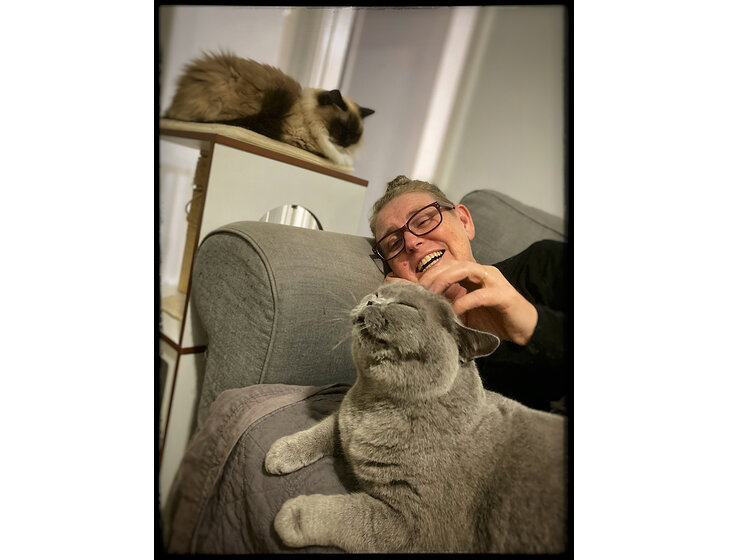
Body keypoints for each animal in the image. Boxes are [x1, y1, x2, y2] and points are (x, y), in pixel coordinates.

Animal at [265, 282, 567, 553]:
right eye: (377, 293)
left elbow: (352, 516)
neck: (372, 404)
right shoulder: (343, 421)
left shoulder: (415, 526)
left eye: (404, 306)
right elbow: (325, 428)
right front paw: (281, 452)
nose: (371, 301)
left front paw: (293, 516)